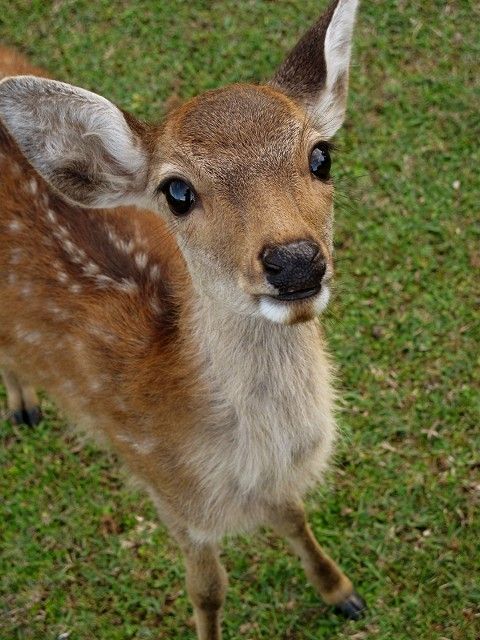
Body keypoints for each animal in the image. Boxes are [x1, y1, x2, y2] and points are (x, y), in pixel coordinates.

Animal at [0, 1, 366, 637]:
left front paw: (341, 590)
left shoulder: (273, 489)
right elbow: (207, 590)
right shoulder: (166, 489)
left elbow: (294, 517)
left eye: (321, 156)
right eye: (176, 191)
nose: (295, 261)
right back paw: (22, 405)